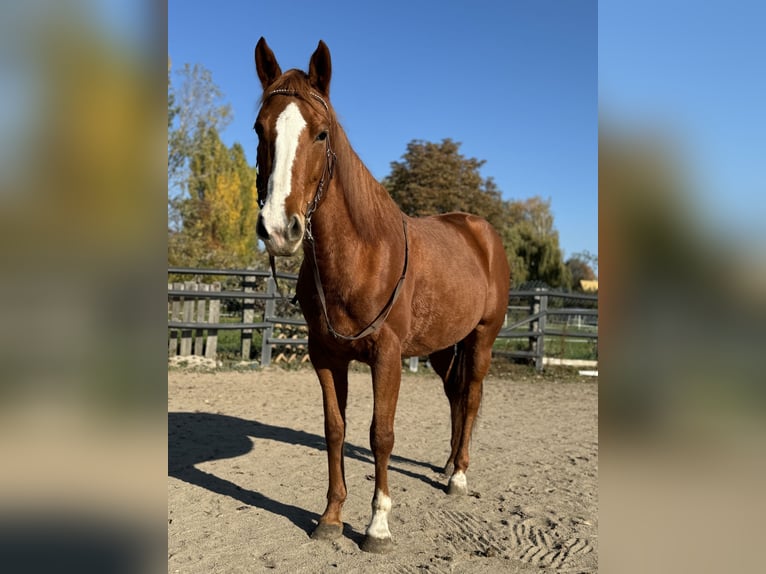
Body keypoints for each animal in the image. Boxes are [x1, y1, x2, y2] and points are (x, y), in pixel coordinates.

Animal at [253, 37, 511, 553]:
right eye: (259, 128)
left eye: (322, 134)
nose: (279, 229)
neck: (362, 253)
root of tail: (482, 232)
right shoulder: (325, 355)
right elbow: (335, 430)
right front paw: (331, 518)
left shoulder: (387, 356)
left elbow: (381, 435)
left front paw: (377, 525)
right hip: (442, 346)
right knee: (455, 398)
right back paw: (447, 465)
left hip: (481, 339)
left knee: (471, 398)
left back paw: (458, 478)